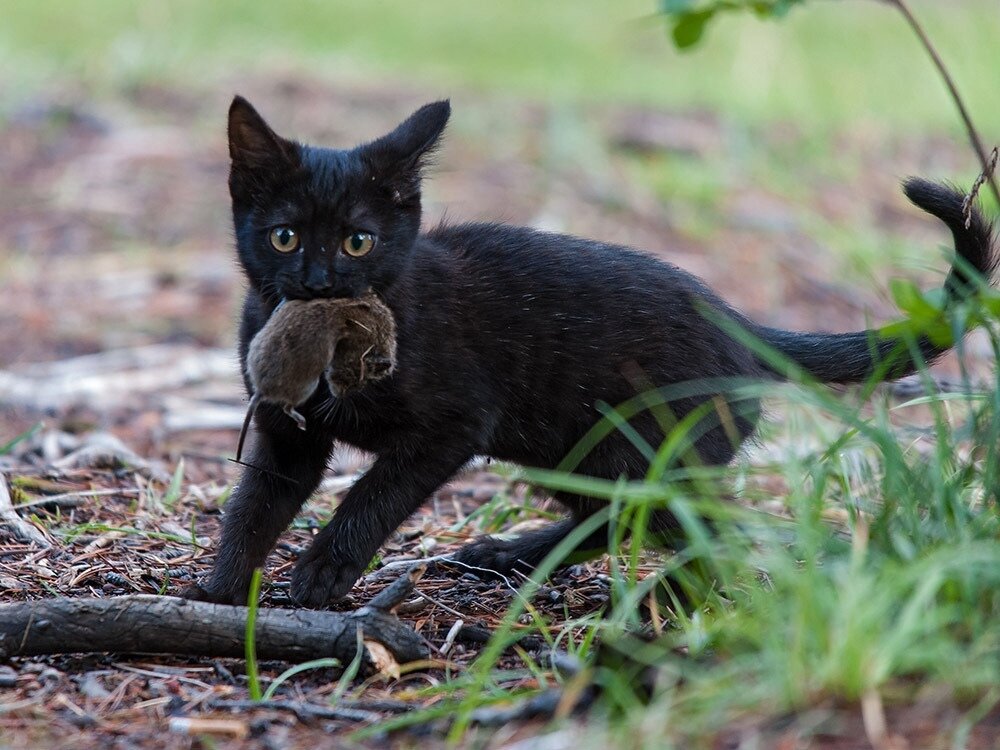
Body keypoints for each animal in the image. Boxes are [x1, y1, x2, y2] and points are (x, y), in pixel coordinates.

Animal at [186, 97, 992, 608]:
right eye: (285, 235)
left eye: (359, 240)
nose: (320, 282)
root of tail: (740, 324)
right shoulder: (287, 436)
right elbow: (253, 504)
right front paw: (219, 592)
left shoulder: (452, 424)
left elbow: (371, 496)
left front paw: (323, 571)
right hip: (577, 449)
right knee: (615, 518)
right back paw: (511, 556)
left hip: (646, 452)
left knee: (715, 531)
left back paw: (666, 600)